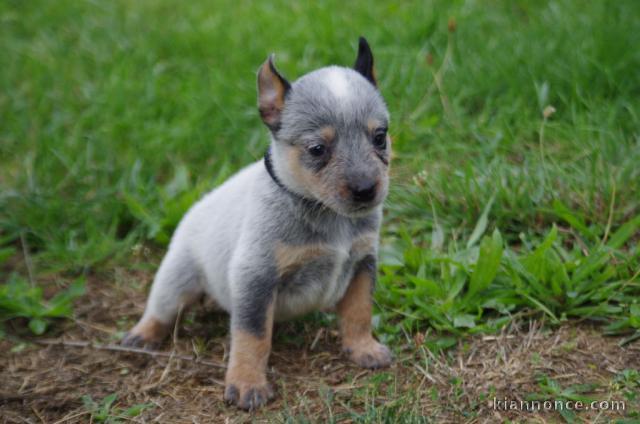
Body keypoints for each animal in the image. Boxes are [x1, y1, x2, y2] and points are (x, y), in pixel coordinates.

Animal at [120, 37, 390, 410]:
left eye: (380, 137)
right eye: (317, 149)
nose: (365, 189)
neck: (324, 212)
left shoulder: (363, 264)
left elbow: (358, 312)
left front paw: (363, 348)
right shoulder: (256, 278)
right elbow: (253, 336)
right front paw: (248, 383)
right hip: (177, 279)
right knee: (161, 310)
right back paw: (142, 336)